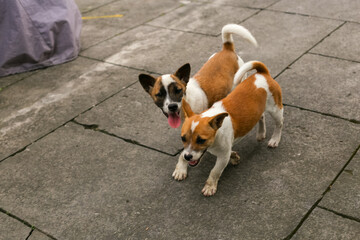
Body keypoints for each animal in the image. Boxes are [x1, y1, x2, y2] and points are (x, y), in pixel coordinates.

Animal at [179, 61, 282, 196]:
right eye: (183, 138)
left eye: (201, 140)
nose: (187, 157)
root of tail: (262, 73)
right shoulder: (223, 151)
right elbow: (229, 152)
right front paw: (234, 156)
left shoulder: (222, 156)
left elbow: (215, 171)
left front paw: (210, 186)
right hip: (258, 109)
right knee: (261, 116)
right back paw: (261, 133)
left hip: (276, 109)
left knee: (279, 124)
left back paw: (275, 139)